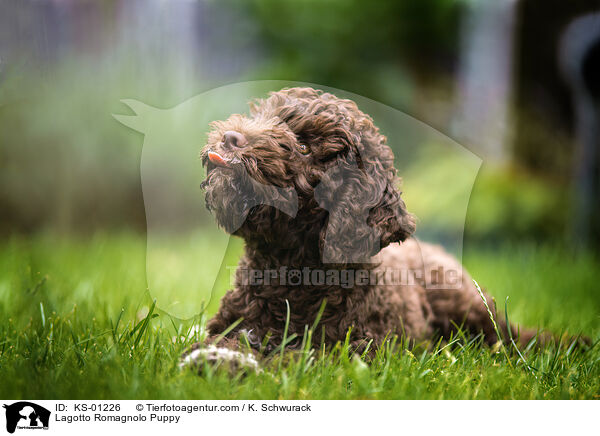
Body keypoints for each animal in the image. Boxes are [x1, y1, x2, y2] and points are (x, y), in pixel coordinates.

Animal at [184, 86, 556, 368]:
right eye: (264, 115)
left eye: (303, 146)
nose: (231, 138)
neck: (290, 271)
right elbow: (229, 339)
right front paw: (218, 358)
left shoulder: (355, 349)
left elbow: (299, 357)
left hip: (464, 304)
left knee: (504, 339)